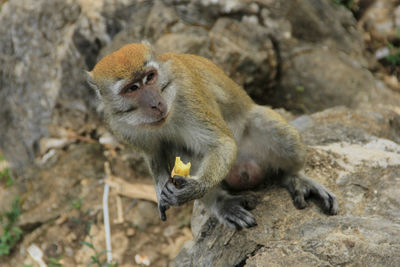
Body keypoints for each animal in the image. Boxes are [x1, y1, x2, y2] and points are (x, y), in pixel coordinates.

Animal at [86, 42, 338, 230]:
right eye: (132, 88)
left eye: (150, 77)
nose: (156, 103)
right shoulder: (120, 125)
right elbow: (154, 153)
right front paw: (160, 188)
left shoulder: (188, 95)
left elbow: (222, 144)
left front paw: (195, 188)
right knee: (179, 148)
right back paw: (221, 202)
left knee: (277, 133)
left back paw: (294, 177)